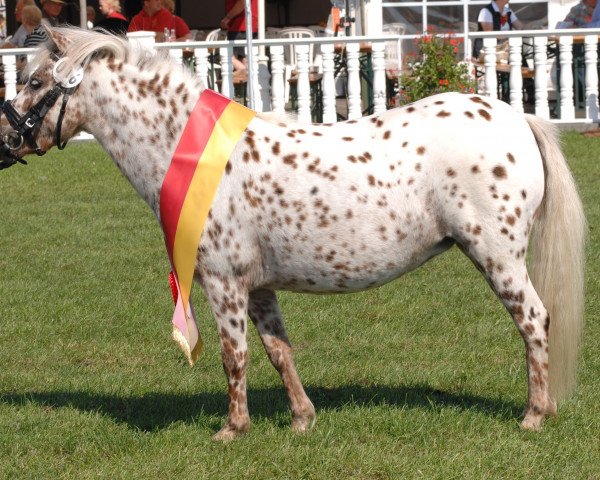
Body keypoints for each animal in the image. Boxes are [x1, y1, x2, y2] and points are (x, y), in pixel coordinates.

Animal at [0, 27, 580, 438]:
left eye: (34, 83)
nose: (5, 138)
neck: (195, 154)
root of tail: (515, 117)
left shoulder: (223, 282)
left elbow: (234, 356)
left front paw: (232, 429)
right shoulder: (258, 288)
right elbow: (279, 351)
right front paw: (303, 419)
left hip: (498, 256)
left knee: (534, 320)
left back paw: (534, 414)